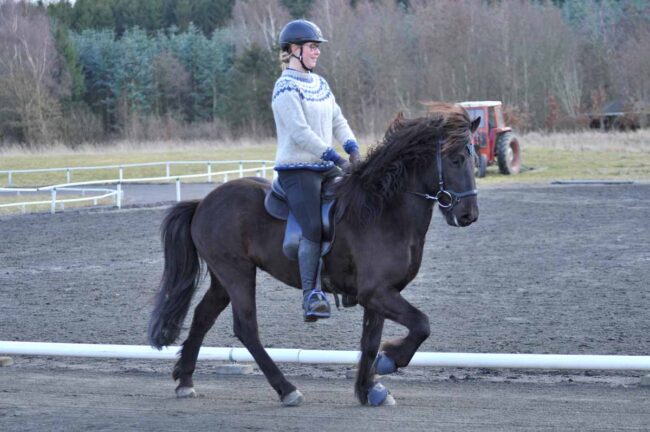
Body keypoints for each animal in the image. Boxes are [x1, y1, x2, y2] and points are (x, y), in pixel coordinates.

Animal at [148, 102, 480, 406]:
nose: (468, 215)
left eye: (474, 160)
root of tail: (204, 202)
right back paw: (286, 389)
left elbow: (370, 341)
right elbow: (421, 324)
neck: (384, 211)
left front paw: (369, 390)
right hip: (237, 273)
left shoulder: (379, 295)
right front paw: (390, 360)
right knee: (246, 327)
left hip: (223, 277)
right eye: (455, 159)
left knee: (203, 317)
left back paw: (185, 381)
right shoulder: (376, 292)